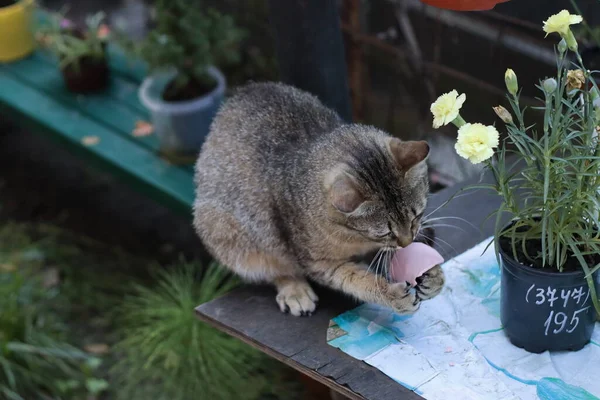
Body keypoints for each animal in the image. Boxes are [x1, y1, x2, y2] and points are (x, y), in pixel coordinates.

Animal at [195, 83, 442, 316]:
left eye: (416, 217)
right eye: (385, 232)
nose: (408, 241)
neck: (356, 239)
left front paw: (433, 276)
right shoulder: (320, 263)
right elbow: (355, 278)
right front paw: (390, 294)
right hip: (230, 234)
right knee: (275, 268)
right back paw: (294, 290)